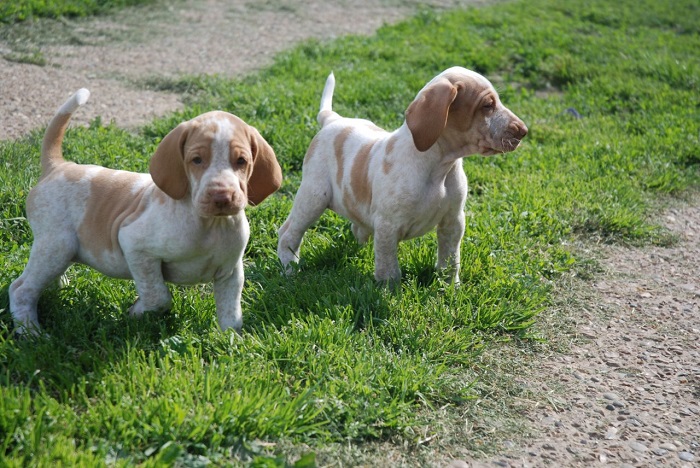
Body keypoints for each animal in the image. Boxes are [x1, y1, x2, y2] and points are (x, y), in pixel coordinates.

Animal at [8, 88, 282, 336]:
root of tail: (58, 166)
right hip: (55, 245)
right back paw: (30, 332)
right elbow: (158, 296)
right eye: (196, 160)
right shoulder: (136, 247)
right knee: (20, 289)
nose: (221, 196)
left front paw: (231, 345)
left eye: (241, 161)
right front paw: (138, 312)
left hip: (59, 251)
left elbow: (231, 316)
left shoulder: (230, 273)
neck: (208, 226)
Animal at [276, 66, 528, 286]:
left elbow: (450, 260)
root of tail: (333, 119)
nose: (524, 131)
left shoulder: (453, 220)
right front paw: (390, 294)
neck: (439, 167)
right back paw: (289, 268)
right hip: (313, 196)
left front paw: (451, 289)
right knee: (288, 233)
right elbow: (389, 269)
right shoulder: (388, 225)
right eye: (487, 105)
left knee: (357, 226)